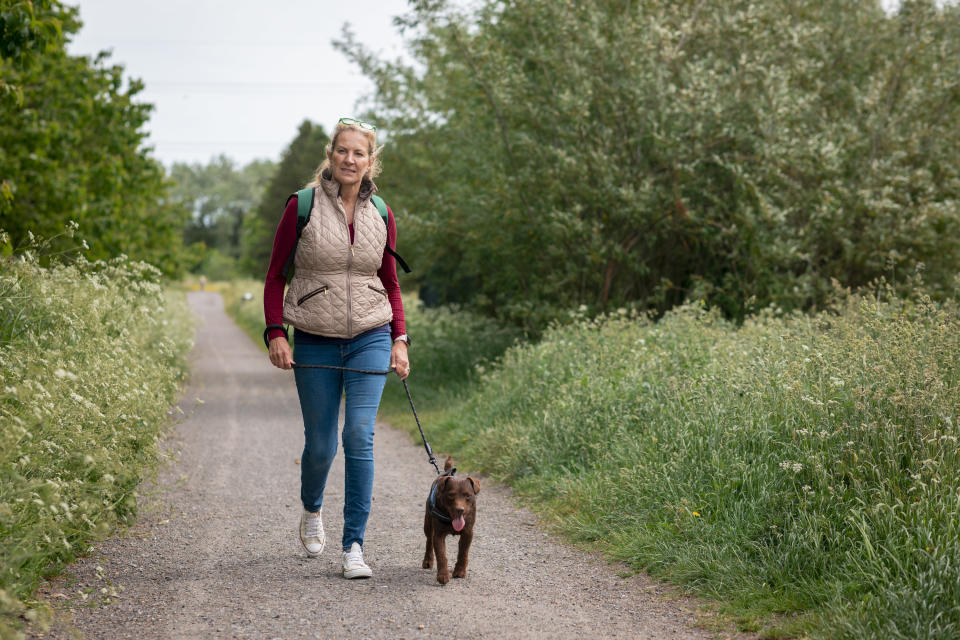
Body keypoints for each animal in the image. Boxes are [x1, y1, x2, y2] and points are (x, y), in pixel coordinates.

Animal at [420, 456, 480, 584]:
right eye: (451, 495)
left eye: (468, 495)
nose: (460, 509)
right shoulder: (439, 534)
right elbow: (441, 555)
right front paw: (443, 575)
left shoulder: (468, 532)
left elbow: (463, 552)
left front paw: (460, 571)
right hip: (427, 523)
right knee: (429, 540)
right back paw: (427, 561)